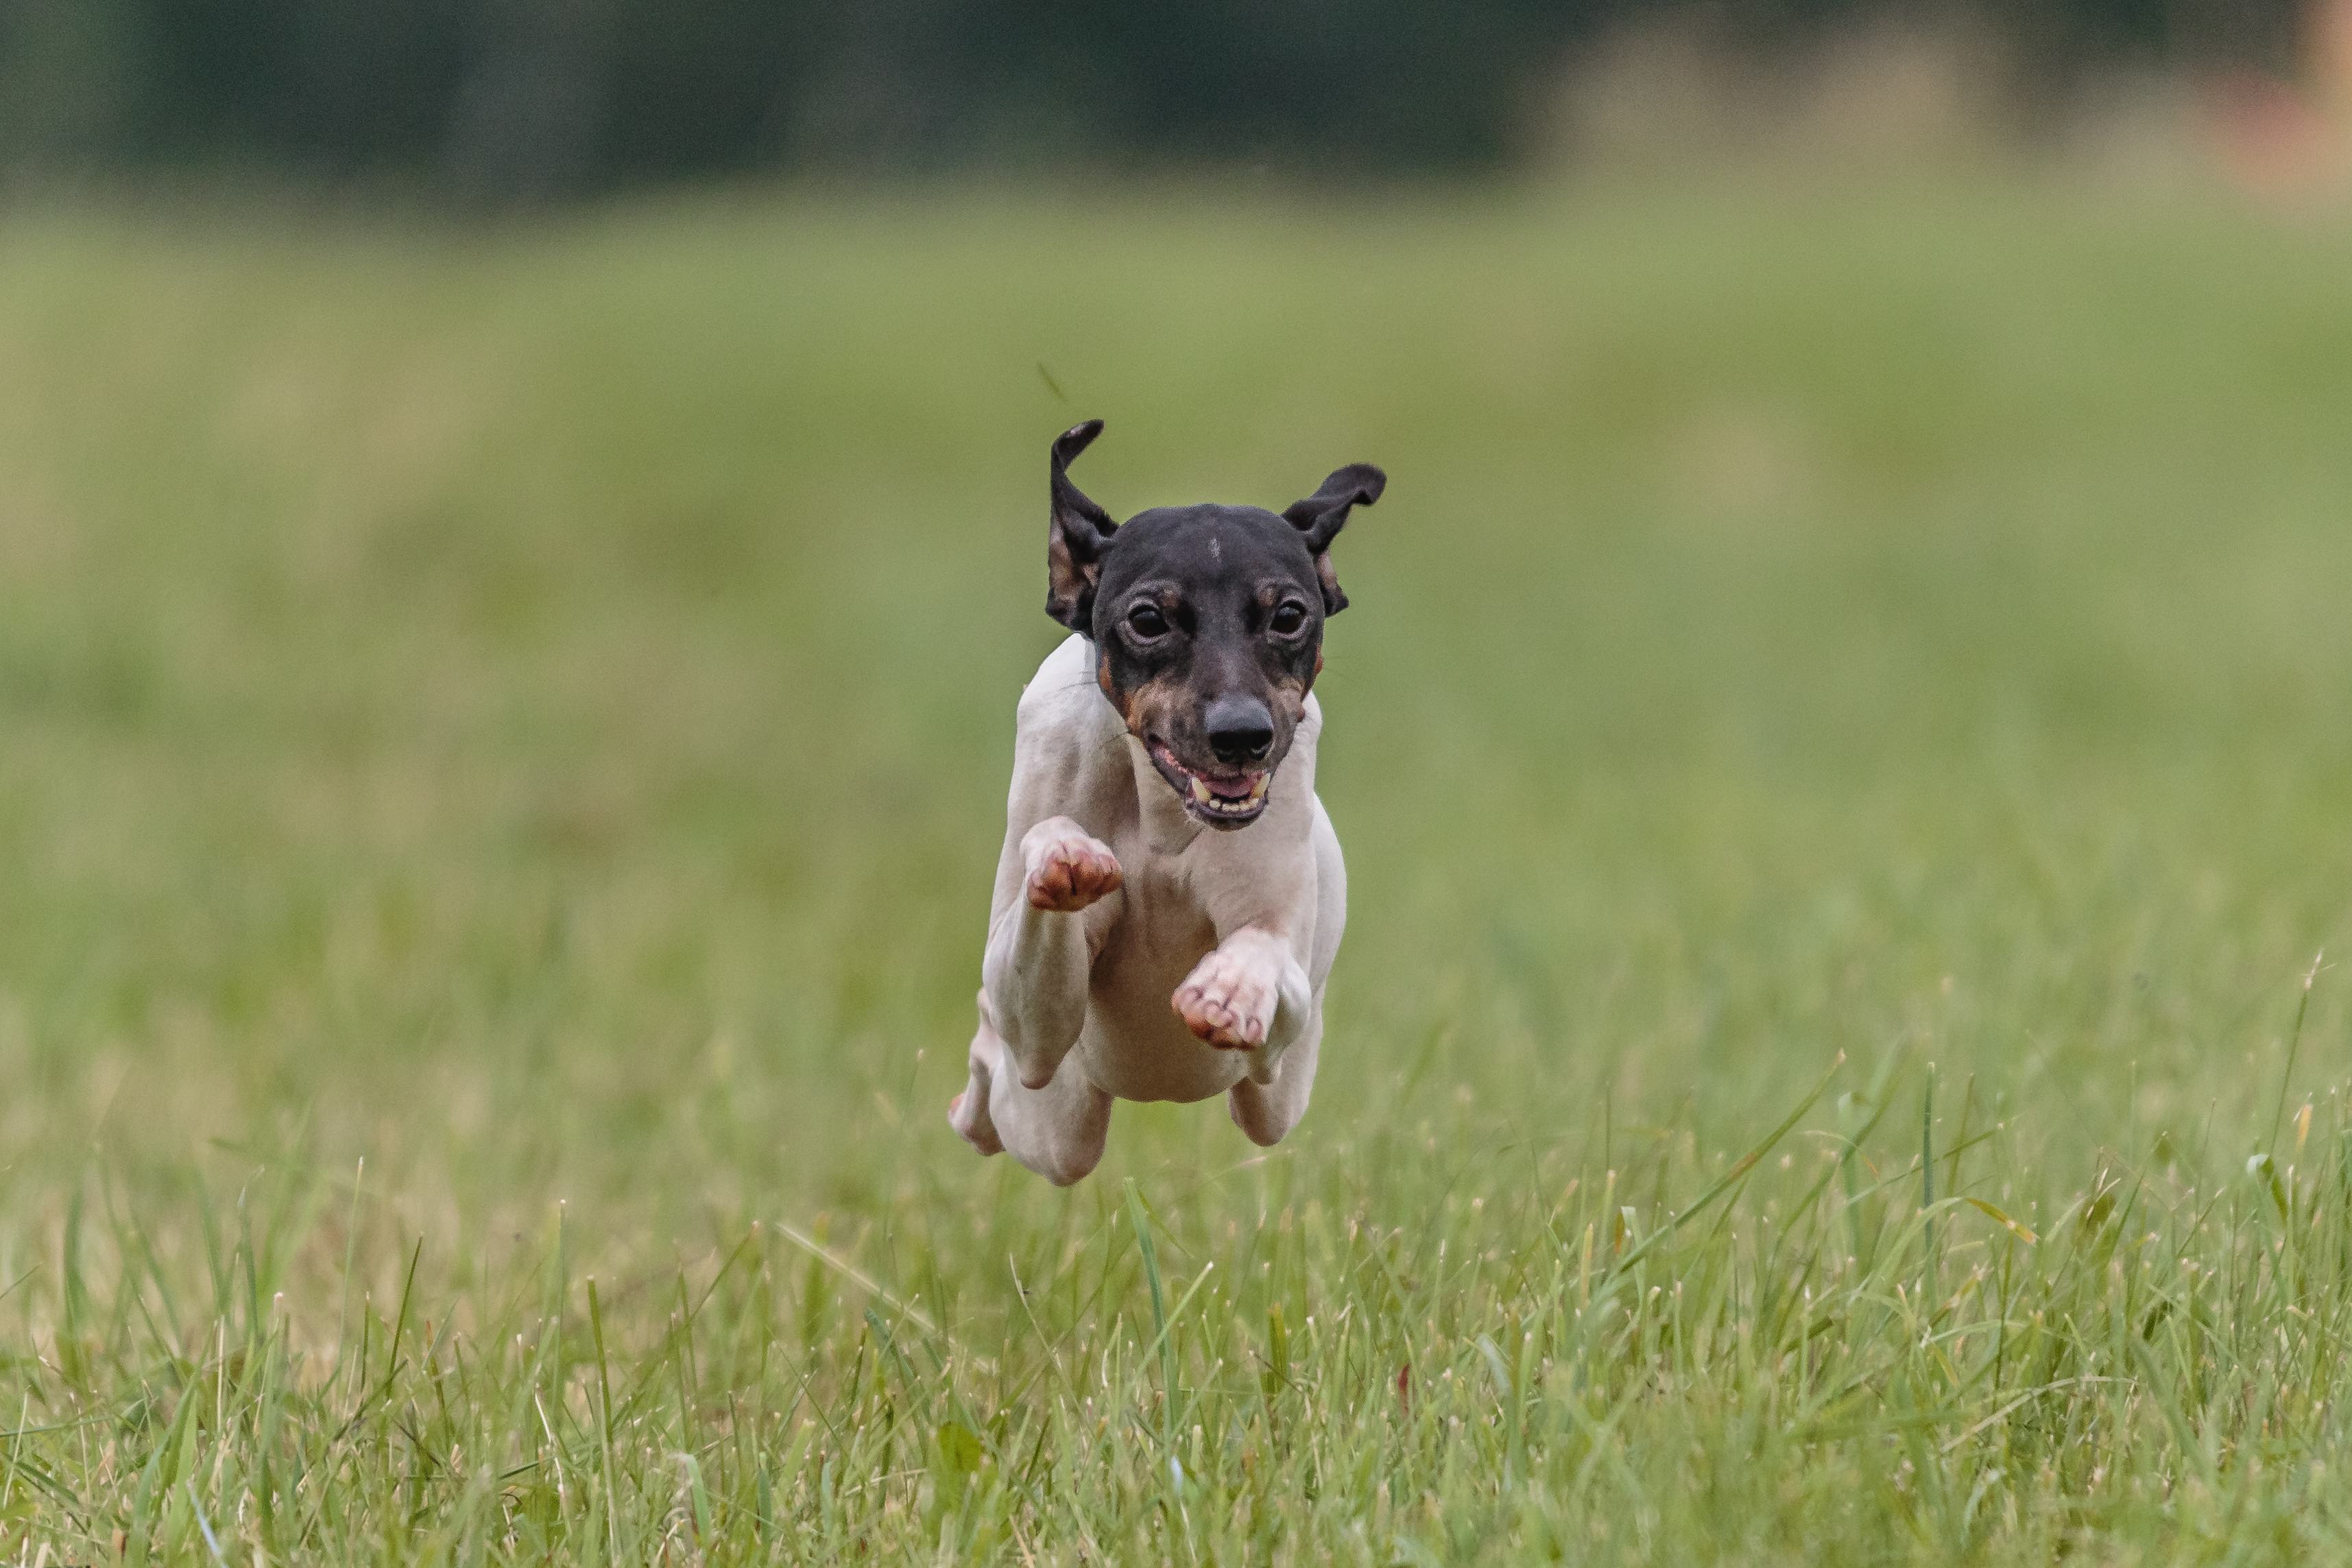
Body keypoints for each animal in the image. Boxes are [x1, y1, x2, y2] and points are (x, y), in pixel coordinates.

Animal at [941, 423, 1373, 1185]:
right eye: (1147, 619)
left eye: (1290, 614)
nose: (1242, 736)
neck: (1163, 818)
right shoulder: (1038, 1031)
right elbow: (1026, 1003)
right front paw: (1065, 853)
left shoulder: (1277, 1033)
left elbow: (1269, 958)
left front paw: (1231, 985)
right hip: (1055, 1124)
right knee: (999, 1075)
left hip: (1276, 1098)